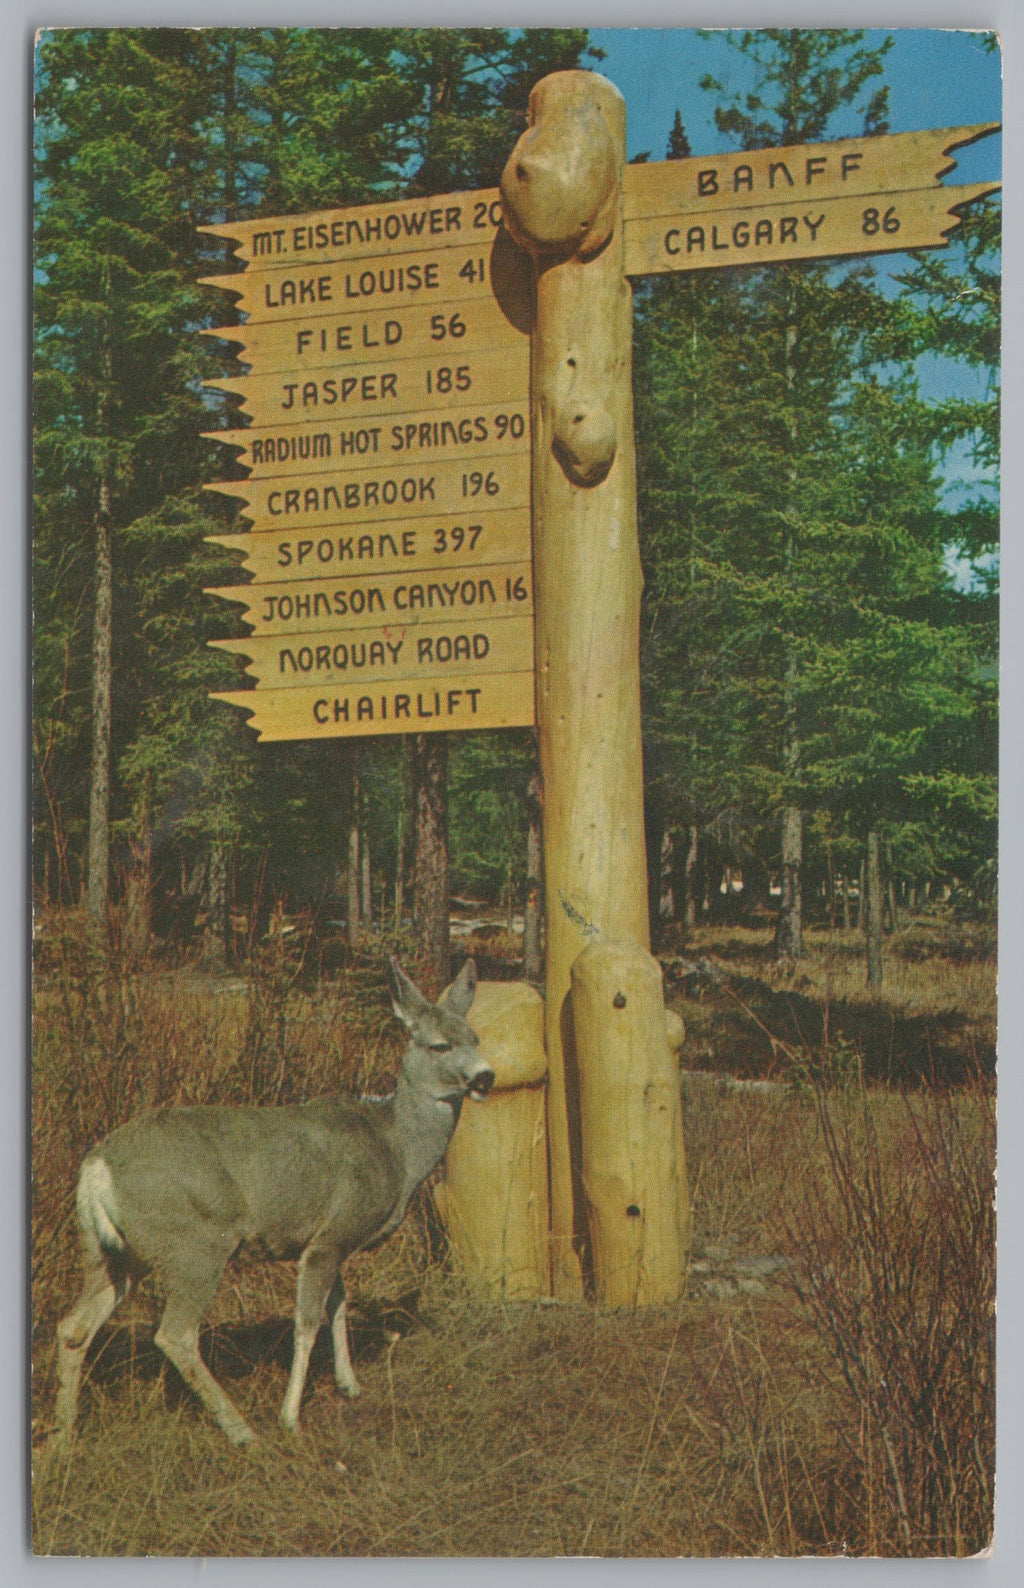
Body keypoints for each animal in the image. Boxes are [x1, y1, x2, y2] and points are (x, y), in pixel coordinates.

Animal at [51, 952, 492, 1454]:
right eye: (440, 1045)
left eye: (476, 1037)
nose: (486, 1076)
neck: (395, 1147)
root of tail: (96, 1169)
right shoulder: (330, 1236)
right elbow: (307, 1323)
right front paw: (290, 1418)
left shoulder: (329, 1238)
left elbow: (339, 1304)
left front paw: (349, 1384)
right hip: (198, 1243)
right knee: (175, 1335)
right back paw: (244, 1432)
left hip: (111, 1251)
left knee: (72, 1326)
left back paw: (61, 1439)